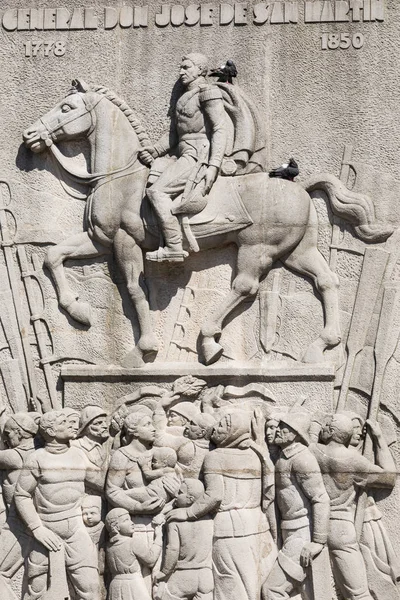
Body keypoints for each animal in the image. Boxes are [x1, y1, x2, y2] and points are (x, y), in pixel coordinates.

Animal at [22, 79, 394, 368]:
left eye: (67, 107)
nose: (30, 134)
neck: (121, 176)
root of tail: (299, 186)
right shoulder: (99, 239)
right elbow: (53, 256)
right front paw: (79, 312)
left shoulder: (124, 241)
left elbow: (133, 289)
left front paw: (142, 350)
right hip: (297, 251)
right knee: (326, 281)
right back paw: (319, 347)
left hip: (257, 247)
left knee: (246, 287)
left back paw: (209, 340)